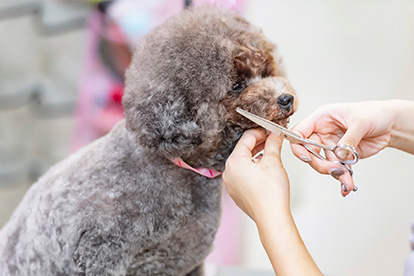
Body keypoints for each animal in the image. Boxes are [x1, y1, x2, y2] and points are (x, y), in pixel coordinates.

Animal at [0, 5, 298, 276]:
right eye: (236, 85)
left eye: (267, 70)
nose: (286, 98)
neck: (180, 170)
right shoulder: (100, 255)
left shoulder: (188, 263)